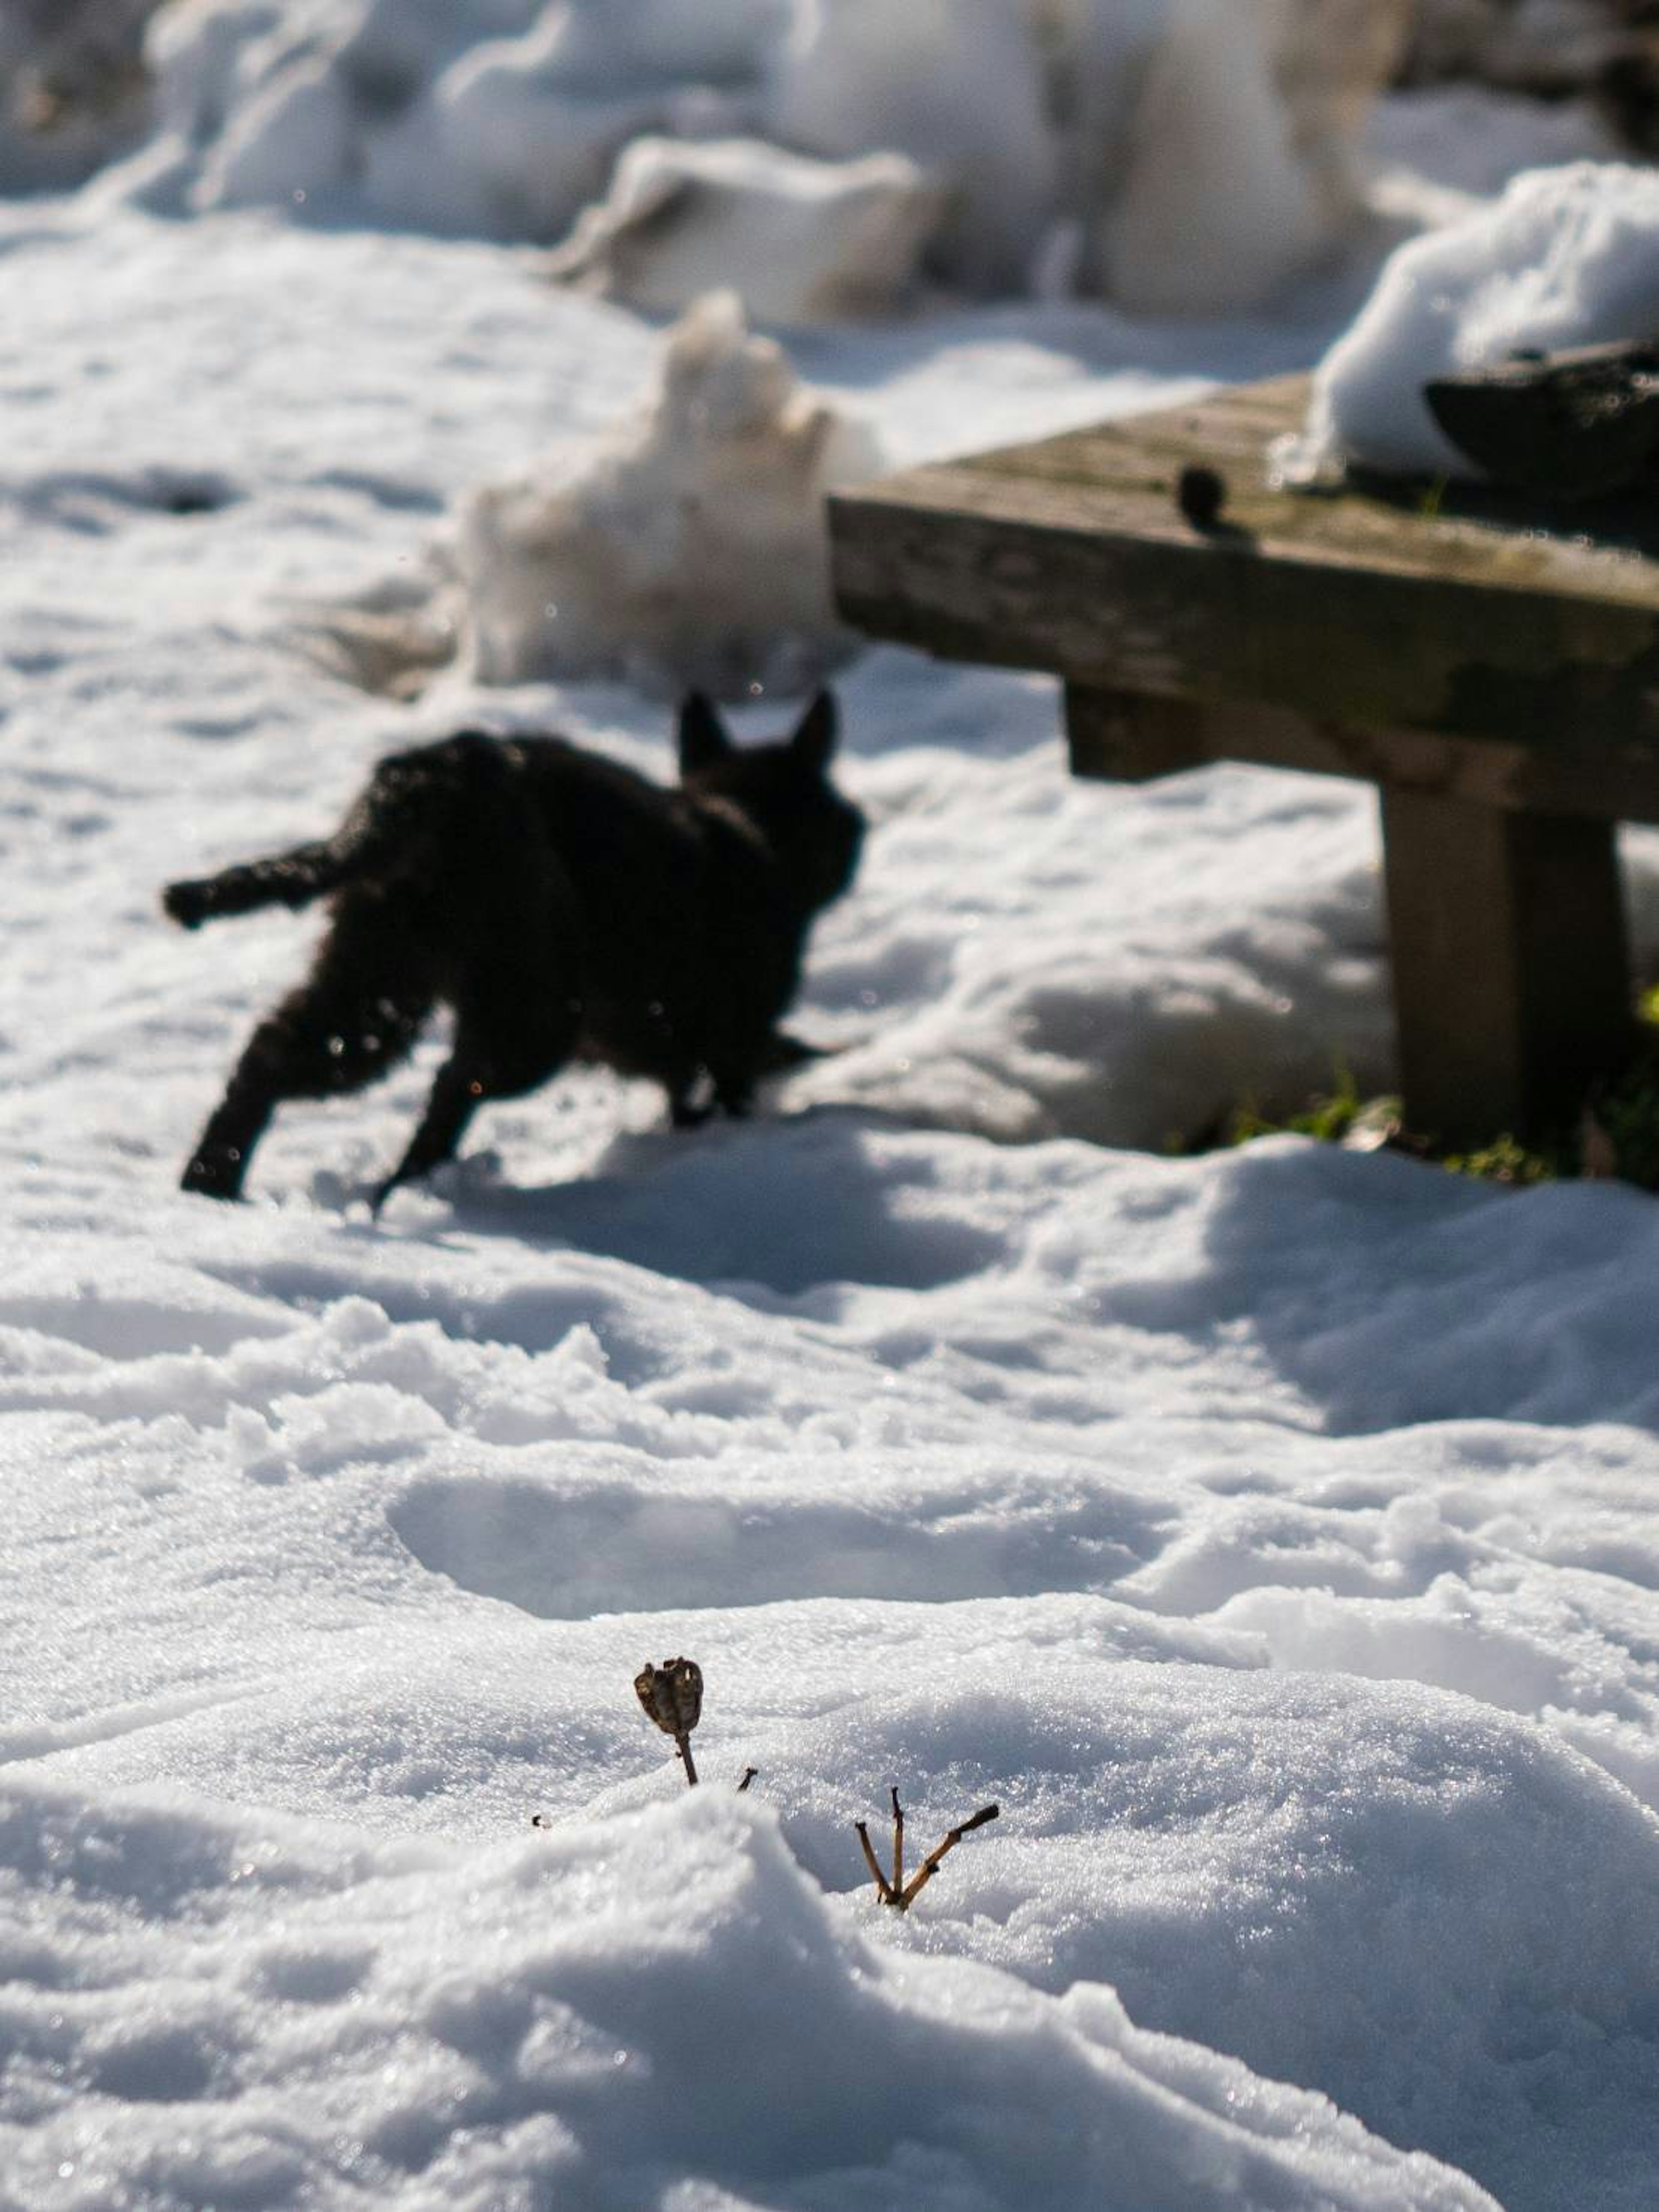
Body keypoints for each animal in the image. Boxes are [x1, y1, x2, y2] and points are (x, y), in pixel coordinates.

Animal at [166, 690, 871, 1212]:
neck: (745, 823)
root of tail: (435, 769)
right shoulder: (735, 1041)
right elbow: (731, 1087)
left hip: (376, 985)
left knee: (269, 1056)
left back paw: (212, 1186)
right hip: (533, 1002)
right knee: (453, 1085)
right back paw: (406, 1191)